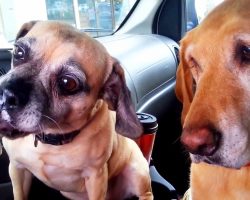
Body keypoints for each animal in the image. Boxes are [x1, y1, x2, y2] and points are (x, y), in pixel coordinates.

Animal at [0, 20, 152, 200]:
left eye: (68, 83)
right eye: (18, 52)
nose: (5, 94)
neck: (51, 141)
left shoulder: (96, 178)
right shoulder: (17, 169)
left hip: (137, 172)